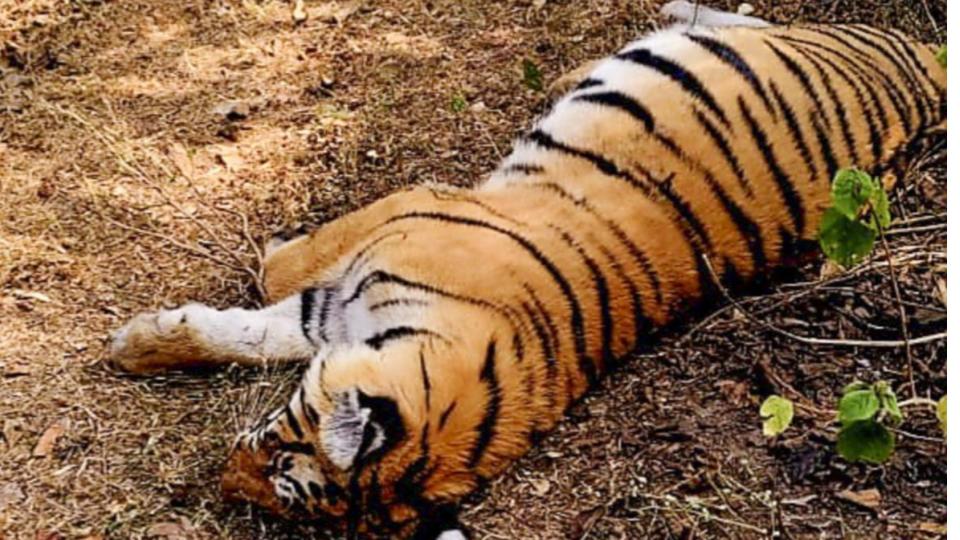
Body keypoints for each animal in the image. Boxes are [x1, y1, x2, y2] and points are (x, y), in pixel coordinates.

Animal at [107, 2, 946, 538]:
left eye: (280, 479)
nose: (218, 483)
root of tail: (928, 69)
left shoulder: (366, 268)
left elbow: (269, 305)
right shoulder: (364, 269)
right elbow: (257, 314)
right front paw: (141, 345)